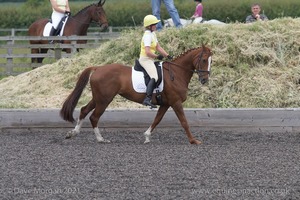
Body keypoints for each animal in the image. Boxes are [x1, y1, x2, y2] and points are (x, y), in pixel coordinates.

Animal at [59, 44, 212, 145]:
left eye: (211, 61)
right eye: (204, 60)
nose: (205, 80)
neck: (176, 73)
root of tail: (98, 68)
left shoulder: (166, 104)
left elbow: (157, 120)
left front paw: (147, 136)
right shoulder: (176, 103)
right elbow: (184, 122)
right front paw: (193, 140)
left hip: (98, 98)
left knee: (84, 110)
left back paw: (73, 133)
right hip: (104, 100)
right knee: (94, 117)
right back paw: (101, 139)